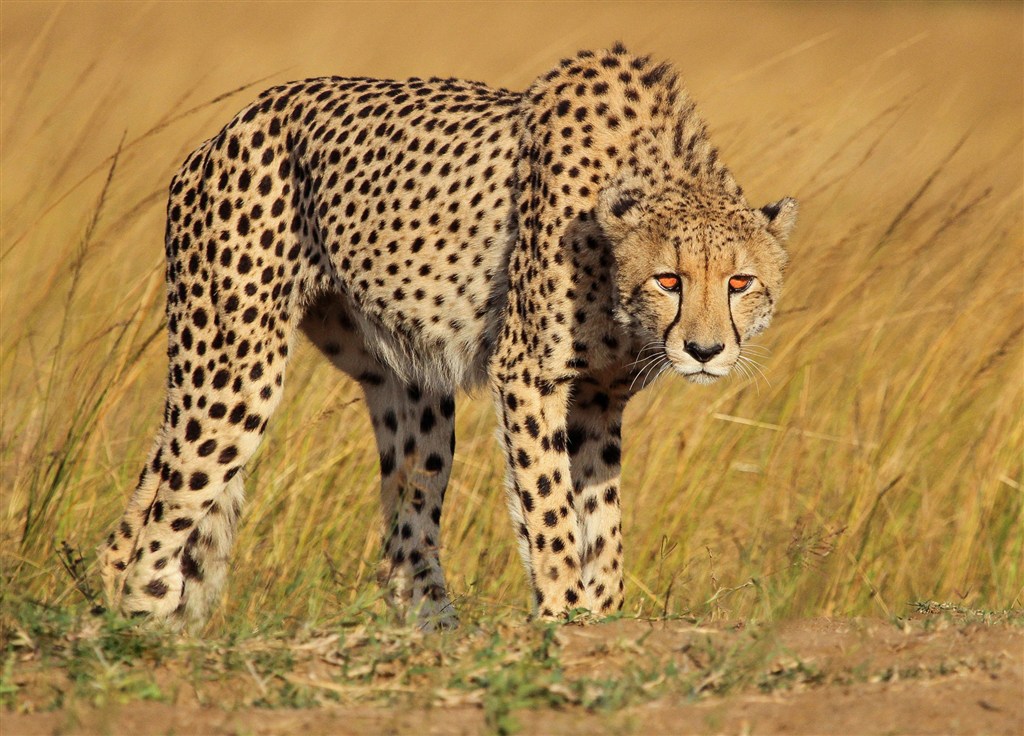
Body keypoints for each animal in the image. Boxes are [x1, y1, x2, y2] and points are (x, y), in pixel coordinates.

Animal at [97, 44, 798, 634]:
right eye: (668, 279)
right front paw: (565, 614)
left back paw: (436, 630)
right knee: (165, 510)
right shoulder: (528, 375)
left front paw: (603, 612)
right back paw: (141, 624)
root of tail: (225, 130)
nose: (704, 351)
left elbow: (602, 520)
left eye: (740, 282)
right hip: (235, 368)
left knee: (399, 532)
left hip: (405, 384)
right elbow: (550, 511)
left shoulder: (600, 399)